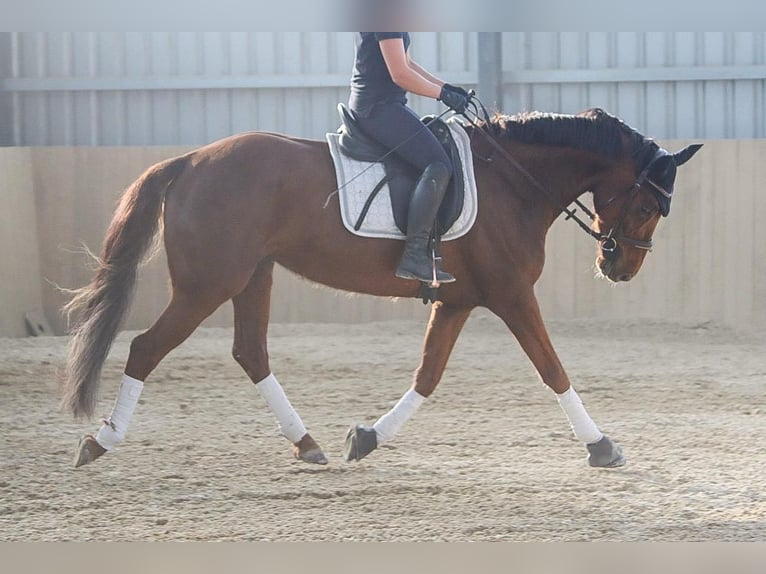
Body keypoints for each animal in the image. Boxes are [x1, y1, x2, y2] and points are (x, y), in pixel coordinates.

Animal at [61, 106, 702, 469]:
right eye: (647, 206)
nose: (622, 268)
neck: (513, 179)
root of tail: (190, 161)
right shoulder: (511, 294)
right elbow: (553, 368)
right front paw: (602, 446)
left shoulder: (459, 300)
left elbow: (428, 375)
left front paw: (366, 437)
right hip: (207, 284)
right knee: (146, 347)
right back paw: (100, 443)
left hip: (252, 276)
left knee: (251, 352)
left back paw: (308, 444)